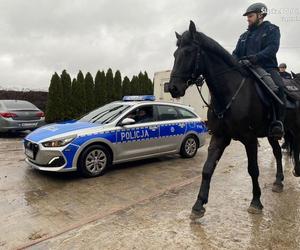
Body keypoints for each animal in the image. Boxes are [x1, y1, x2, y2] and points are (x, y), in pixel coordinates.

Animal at [169, 21, 300, 219]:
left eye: (188, 53)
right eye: (175, 54)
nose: (172, 88)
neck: (230, 93)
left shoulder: (250, 139)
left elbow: (253, 170)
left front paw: (256, 201)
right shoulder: (219, 137)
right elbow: (207, 169)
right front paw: (198, 205)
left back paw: (297, 171)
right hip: (273, 133)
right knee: (278, 153)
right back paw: (278, 181)